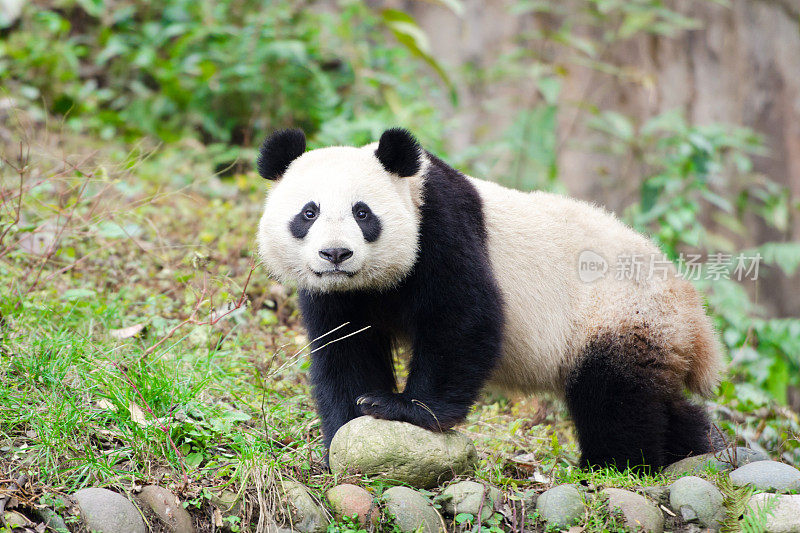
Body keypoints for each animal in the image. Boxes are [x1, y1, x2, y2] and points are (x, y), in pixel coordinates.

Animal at [258, 128, 724, 470]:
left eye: (362, 212)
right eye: (309, 213)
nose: (336, 254)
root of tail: (696, 316)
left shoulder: (441, 225)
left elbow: (463, 317)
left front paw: (401, 408)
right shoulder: (337, 292)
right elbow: (345, 345)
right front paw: (348, 427)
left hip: (619, 312)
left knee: (615, 395)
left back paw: (615, 463)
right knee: (659, 400)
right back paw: (694, 445)